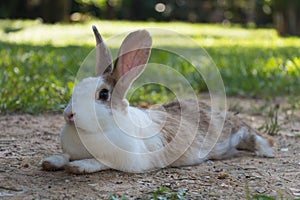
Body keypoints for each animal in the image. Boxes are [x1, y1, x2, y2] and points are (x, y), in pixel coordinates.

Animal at [41, 26, 276, 173]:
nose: (68, 115)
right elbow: (64, 156)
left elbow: (99, 162)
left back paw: (267, 152)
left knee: (254, 136)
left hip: (236, 133)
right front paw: (51, 162)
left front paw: (79, 166)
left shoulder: (124, 160)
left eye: (104, 94)